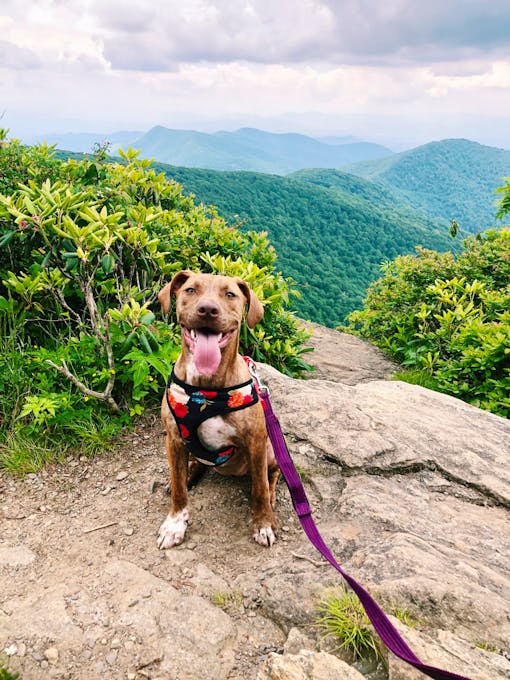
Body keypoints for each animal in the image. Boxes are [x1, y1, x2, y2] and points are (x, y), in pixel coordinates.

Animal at [158, 270, 280, 548]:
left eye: (230, 294)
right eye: (191, 290)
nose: (207, 310)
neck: (204, 391)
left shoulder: (257, 442)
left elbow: (259, 488)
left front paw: (263, 523)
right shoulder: (174, 438)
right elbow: (179, 491)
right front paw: (175, 524)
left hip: (272, 450)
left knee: (273, 475)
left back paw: (272, 496)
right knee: (193, 465)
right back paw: (189, 474)